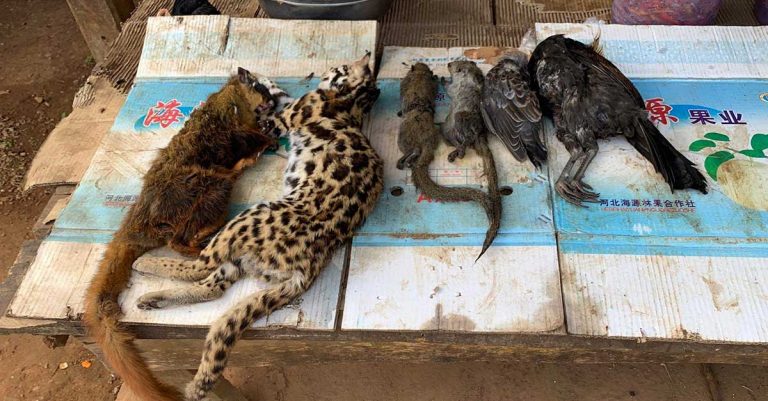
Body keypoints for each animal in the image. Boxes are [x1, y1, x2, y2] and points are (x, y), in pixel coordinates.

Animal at [85, 69, 278, 400]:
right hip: (203, 189)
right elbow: (247, 134)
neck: (232, 100)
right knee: (180, 238)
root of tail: (141, 217)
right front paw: (269, 135)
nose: (271, 99)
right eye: (257, 86)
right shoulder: (231, 122)